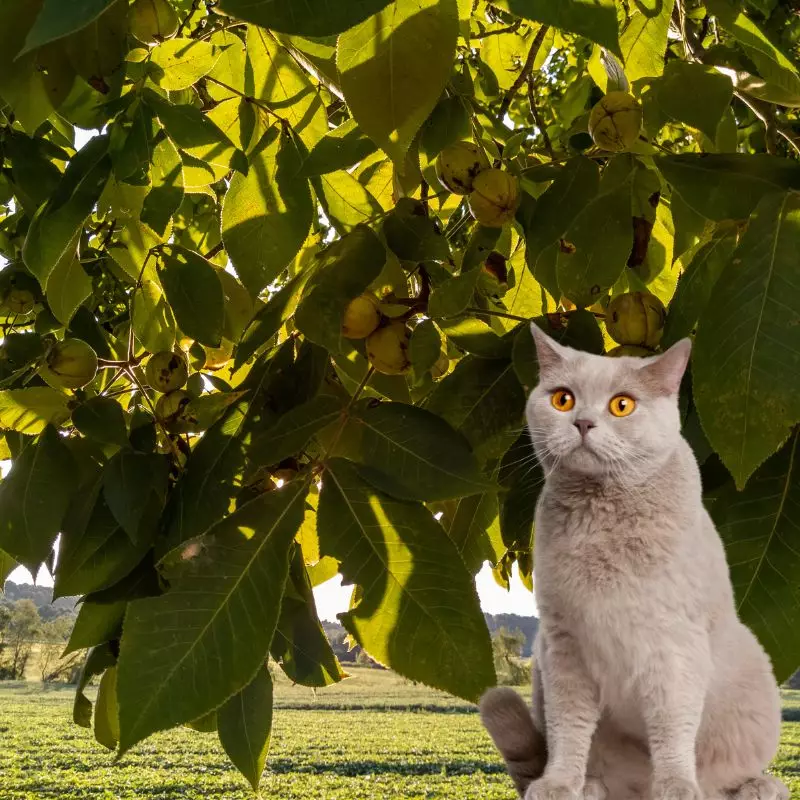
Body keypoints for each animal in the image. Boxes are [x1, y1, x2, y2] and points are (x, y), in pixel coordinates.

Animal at [482, 324, 788, 800]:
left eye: (621, 405)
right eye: (563, 399)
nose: (583, 422)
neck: (602, 518)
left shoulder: (673, 647)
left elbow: (672, 728)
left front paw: (677, 786)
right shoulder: (564, 646)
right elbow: (569, 729)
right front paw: (560, 783)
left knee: (723, 778)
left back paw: (758, 786)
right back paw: (592, 786)